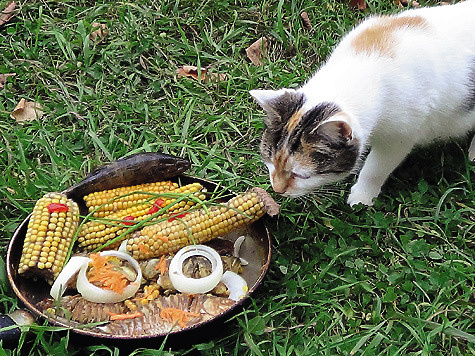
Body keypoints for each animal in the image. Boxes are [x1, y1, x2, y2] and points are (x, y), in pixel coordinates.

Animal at [249, 0, 475, 206]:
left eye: (301, 175)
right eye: (269, 160)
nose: (277, 190)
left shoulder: (401, 137)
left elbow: (376, 167)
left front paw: (361, 197)